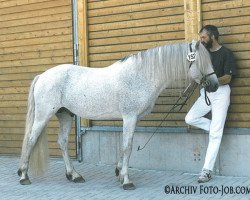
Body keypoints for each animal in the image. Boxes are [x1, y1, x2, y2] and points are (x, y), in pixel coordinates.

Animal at [17, 40, 218, 189]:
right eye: (201, 61)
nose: (214, 85)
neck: (140, 75)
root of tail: (42, 76)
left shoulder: (132, 119)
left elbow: (125, 145)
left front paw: (119, 173)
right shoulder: (129, 117)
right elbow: (127, 146)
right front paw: (127, 181)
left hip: (65, 115)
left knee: (63, 142)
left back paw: (74, 175)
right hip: (43, 115)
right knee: (30, 140)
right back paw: (24, 176)